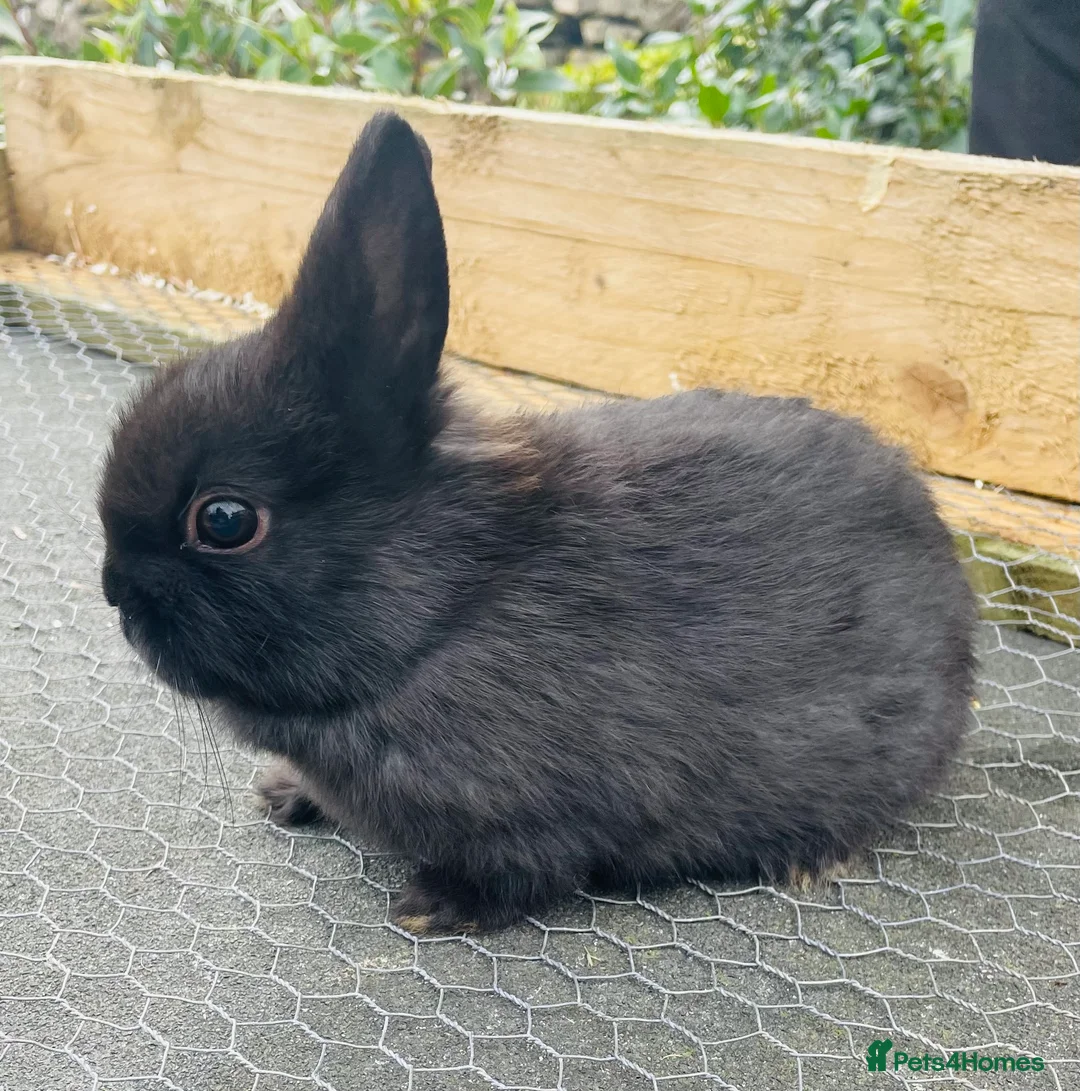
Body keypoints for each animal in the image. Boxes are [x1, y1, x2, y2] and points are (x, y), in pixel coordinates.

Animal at [98, 111, 977, 935]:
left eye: (223, 519)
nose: (114, 593)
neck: (442, 614)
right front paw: (285, 794)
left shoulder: (538, 820)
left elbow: (528, 870)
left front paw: (431, 906)